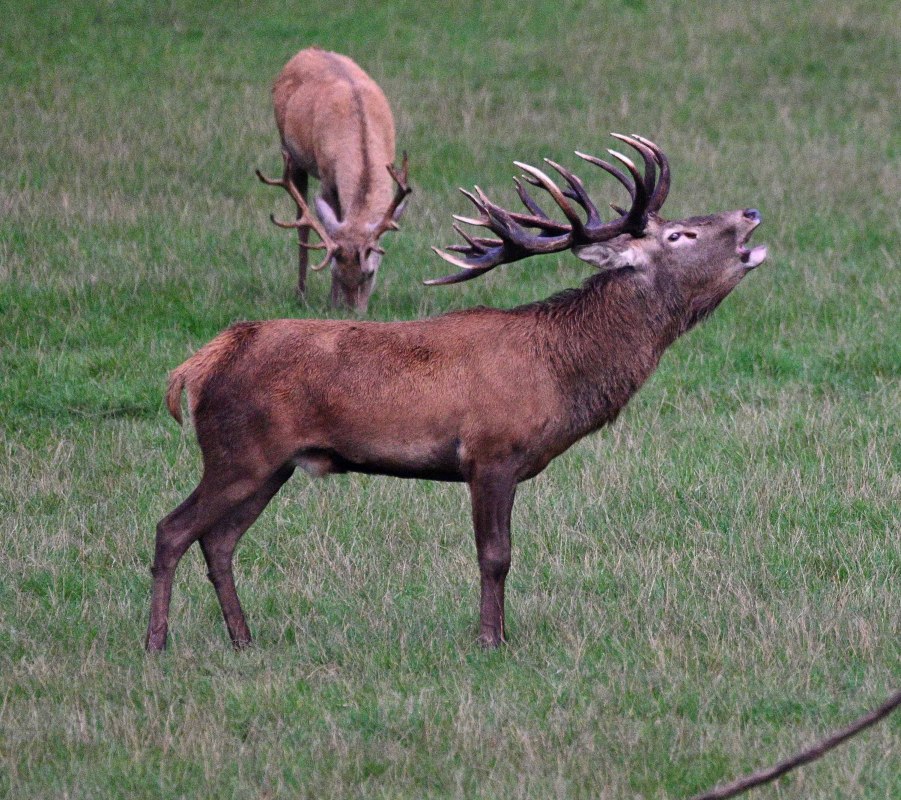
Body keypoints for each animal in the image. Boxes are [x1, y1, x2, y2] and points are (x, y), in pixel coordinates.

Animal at [145, 134, 767, 652]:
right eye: (679, 234)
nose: (751, 212)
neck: (560, 373)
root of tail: (199, 363)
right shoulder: (490, 452)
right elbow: (495, 556)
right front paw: (491, 640)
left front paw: (495, 633)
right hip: (237, 452)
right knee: (172, 529)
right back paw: (157, 643)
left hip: (271, 465)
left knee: (219, 541)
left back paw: (243, 638)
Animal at [256, 47, 411, 313]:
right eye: (335, 271)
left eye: (370, 273)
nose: (351, 313)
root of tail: (305, 50)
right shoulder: (328, 177)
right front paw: (332, 299)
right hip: (290, 152)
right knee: (302, 223)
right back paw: (301, 292)